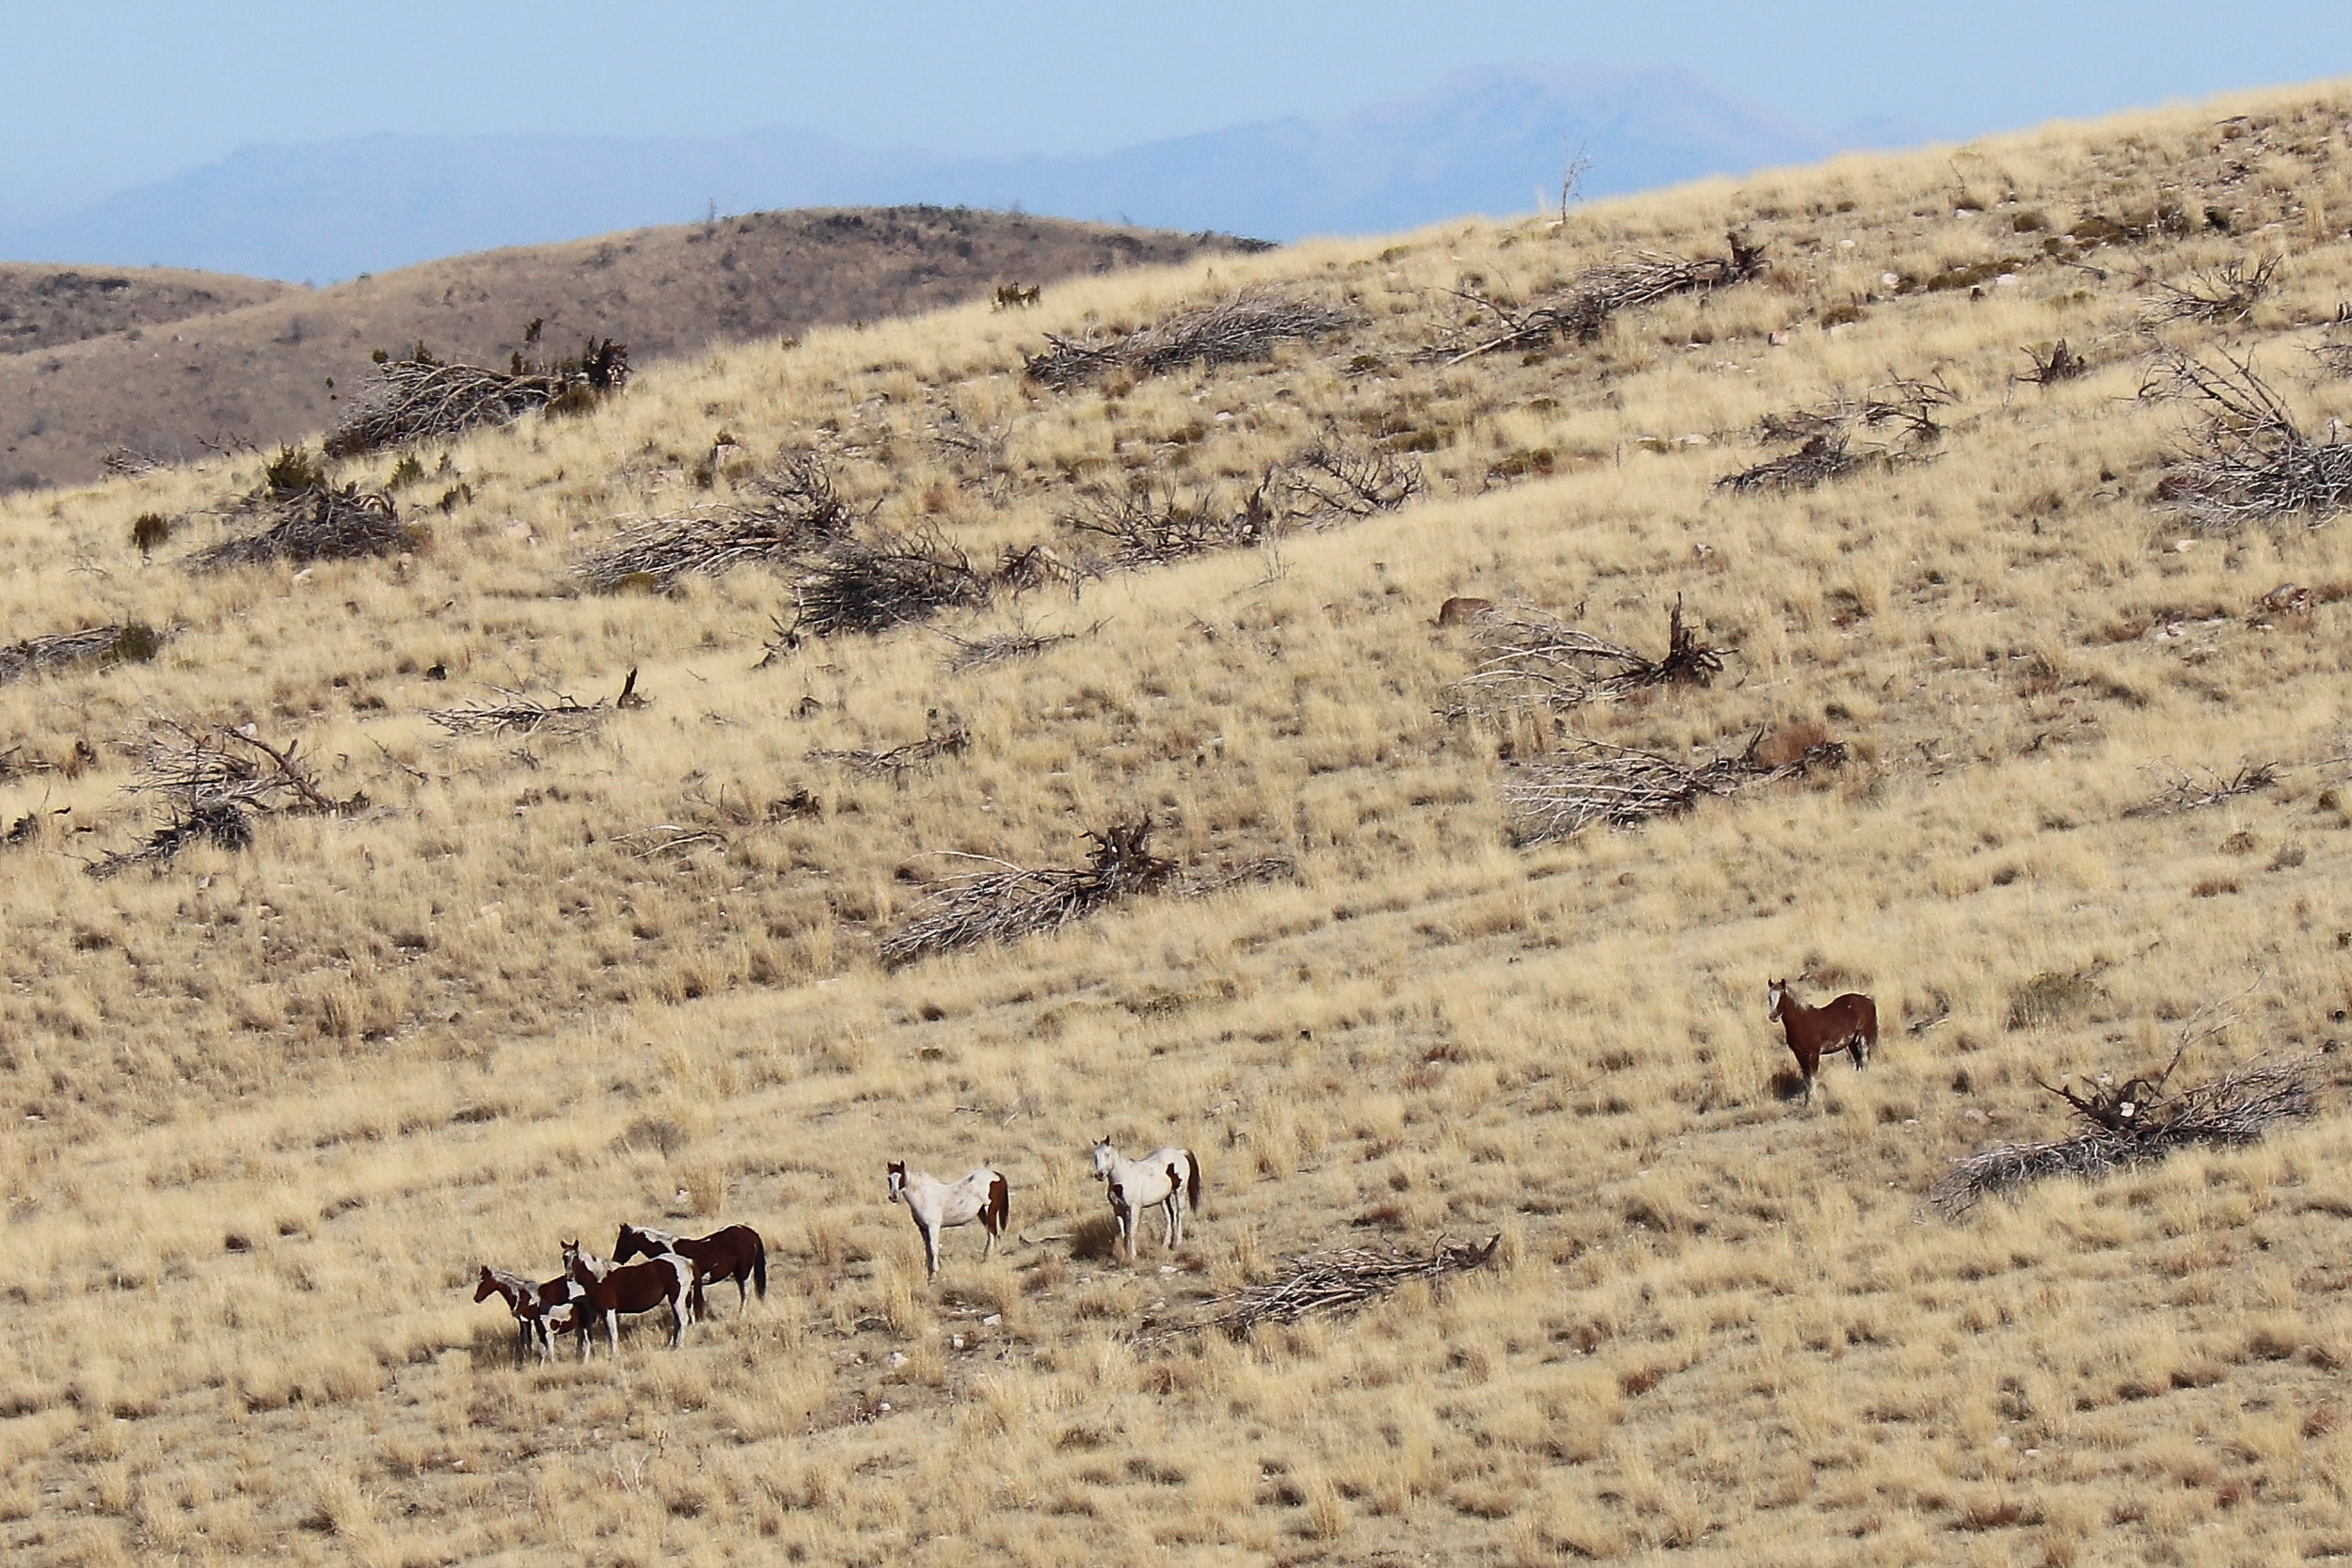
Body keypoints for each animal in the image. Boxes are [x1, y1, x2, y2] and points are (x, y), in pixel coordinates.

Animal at [560, 1241, 696, 1363]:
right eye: (564, 1257)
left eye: (576, 1258)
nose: (569, 1276)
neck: (598, 1278)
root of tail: (686, 1262)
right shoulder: (596, 1313)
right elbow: (588, 1337)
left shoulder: (608, 1310)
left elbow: (613, 1334)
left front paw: (615, 1357)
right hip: (674, 1300)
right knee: (677, 1321)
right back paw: (673, 1345)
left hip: (677, 1299)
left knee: (683, 1320)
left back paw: (678, 1346)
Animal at [612, 1222, 767, 1316]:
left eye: (622, 1241)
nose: (616, 1259)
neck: (668, 1249)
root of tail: (749, 1232)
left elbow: (689, 1305)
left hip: (743, 1271)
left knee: (745, 1292)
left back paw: (741, 1314)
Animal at [884, 1161, 1011, 1278]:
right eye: (889, 1178)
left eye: (901, 1177)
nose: (893, 1197)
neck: (923, 1196)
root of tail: (997, 1175)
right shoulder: (923, 1228)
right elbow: (927, 1250)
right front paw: (929, 1272)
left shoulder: (933, 1227)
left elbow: (933, 1248)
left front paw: (934, 1275)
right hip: (983, 1214)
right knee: (993, 1234)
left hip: (990, 1211)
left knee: (993, 1232)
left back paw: (989, 1258)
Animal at [1082, 1132, 1195, 1259]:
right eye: (1095, 1156)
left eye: (1107, 1154)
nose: (1099, 1175)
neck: (1123, 1178)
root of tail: (1179, 1152)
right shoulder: (1118, 1210)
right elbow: (1123, 1232)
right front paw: (1125, 1254)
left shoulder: (1133, 1208)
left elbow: (1131, 1231)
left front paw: (1132, 1255)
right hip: (1164, 1199)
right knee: (1169, 1217)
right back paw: (1165, 1245)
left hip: (1179, 1191)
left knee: (1179, 1215)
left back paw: (1176, 1245)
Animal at [1769, 982, 1872, 1104]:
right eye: (1769, 997)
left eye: (1782, 996)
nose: (1773, 1016)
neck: (1802, 1020)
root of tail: (1866, 999)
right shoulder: (1799, 1053)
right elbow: (1806, 1076)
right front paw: (1807, 1101)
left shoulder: (1814, 1053)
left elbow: (1813, 1076)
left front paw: (1812, 1100)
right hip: (1851, 1042)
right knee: (1858, 1061)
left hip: (1863, 1036)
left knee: (1864, 1059)